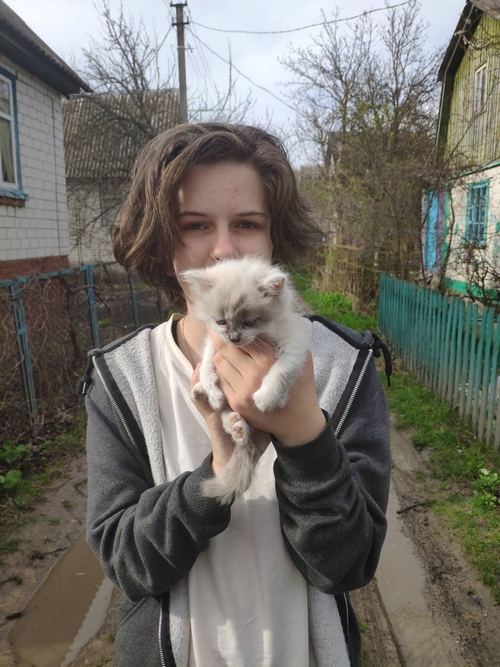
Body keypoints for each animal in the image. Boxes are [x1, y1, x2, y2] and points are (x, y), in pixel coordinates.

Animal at [180, 256, 312, 504]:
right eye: (221, 321)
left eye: (250, 322)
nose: (234, 339)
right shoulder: (215, 340)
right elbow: (208, 359)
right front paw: (212, 389)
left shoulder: (295, 341)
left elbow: (283, 369)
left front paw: (267, 398)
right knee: (225, 416)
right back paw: (216, 407)